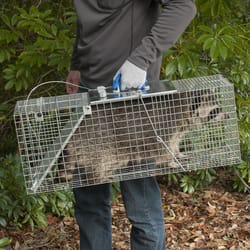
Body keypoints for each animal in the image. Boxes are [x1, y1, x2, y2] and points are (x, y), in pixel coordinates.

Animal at [55, 89, 229, 184]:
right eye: (216, 110)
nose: (227, 115)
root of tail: (74, 135)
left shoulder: (177, 130)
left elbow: (173, 143)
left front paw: (177, 154)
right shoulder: (164, 126)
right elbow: (163, 148)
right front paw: (169, 161)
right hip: (98, 140)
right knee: (102, 160)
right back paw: (97, 177)